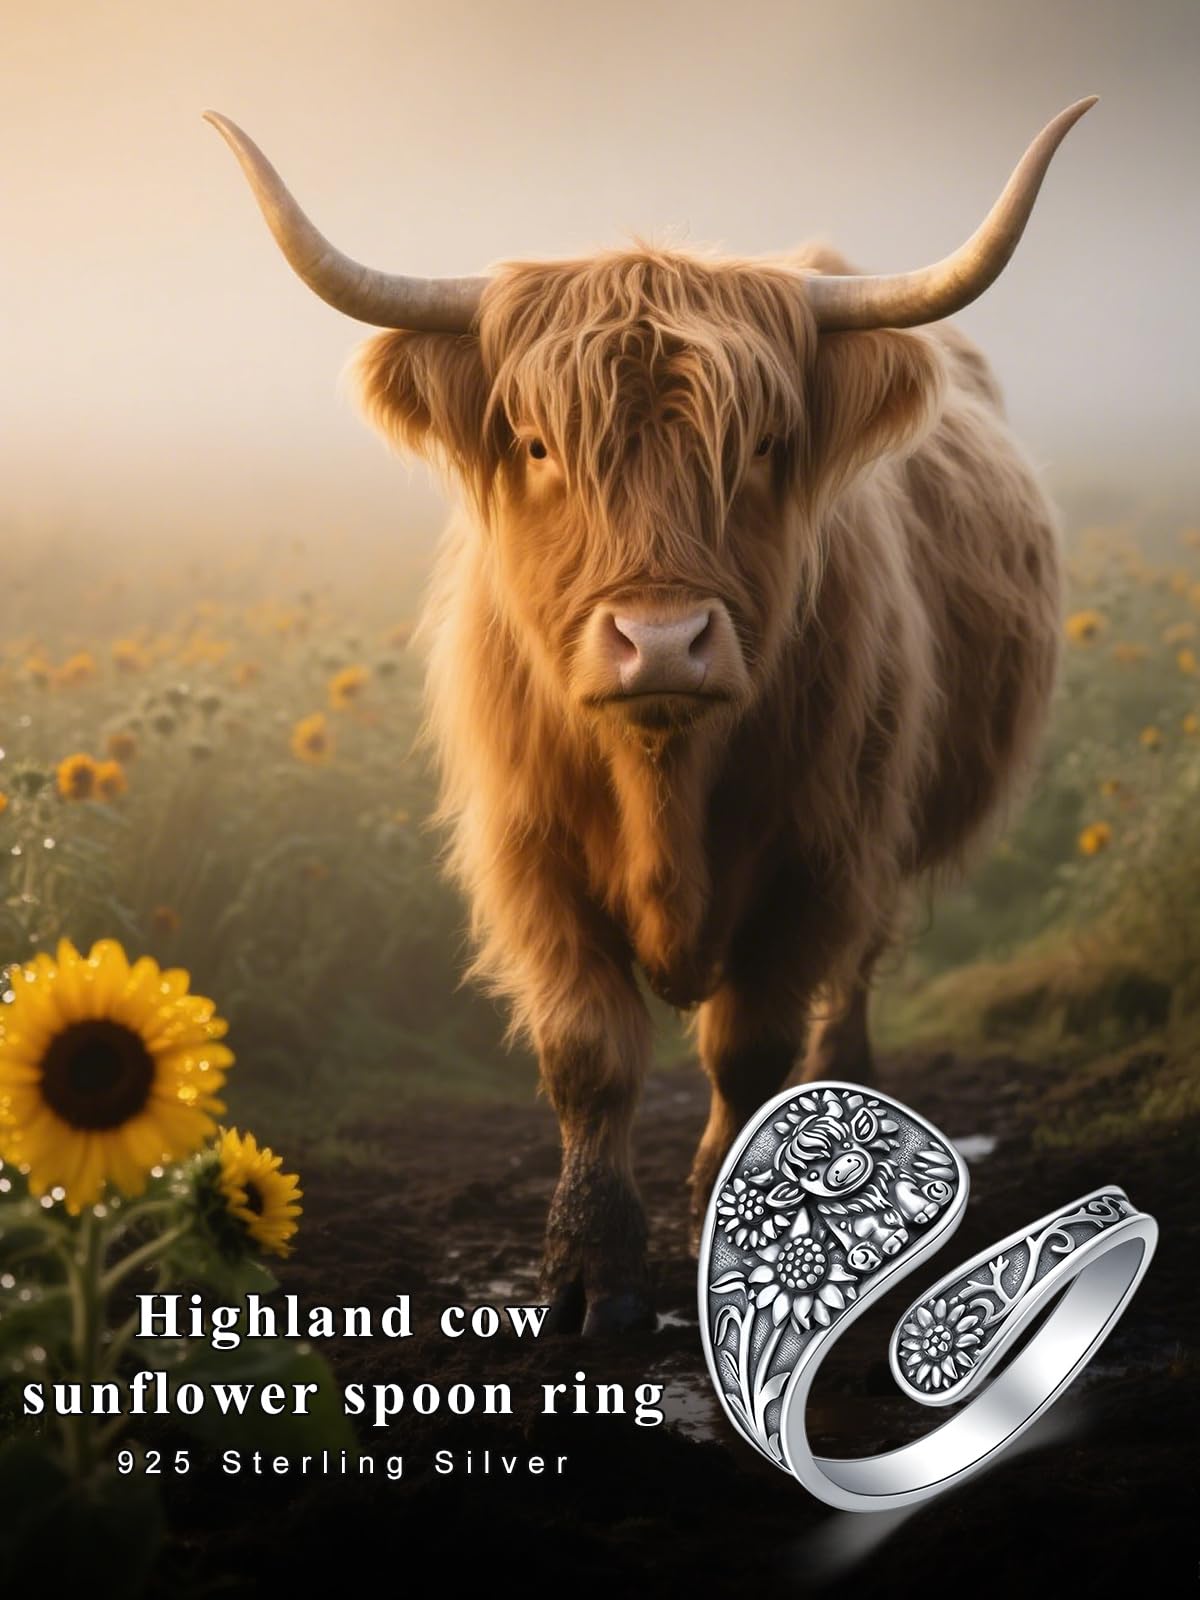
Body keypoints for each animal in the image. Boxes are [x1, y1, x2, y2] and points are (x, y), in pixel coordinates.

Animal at [207, 99, 1092, 1333]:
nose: (663, 640)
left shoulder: (817, 853)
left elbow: (752, 1044)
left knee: (852, 981)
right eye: (539, 445)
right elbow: (589, 1057)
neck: (665, 777)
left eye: (759, 447)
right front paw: (590, 1269)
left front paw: (733, 1200)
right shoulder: (529, 855)